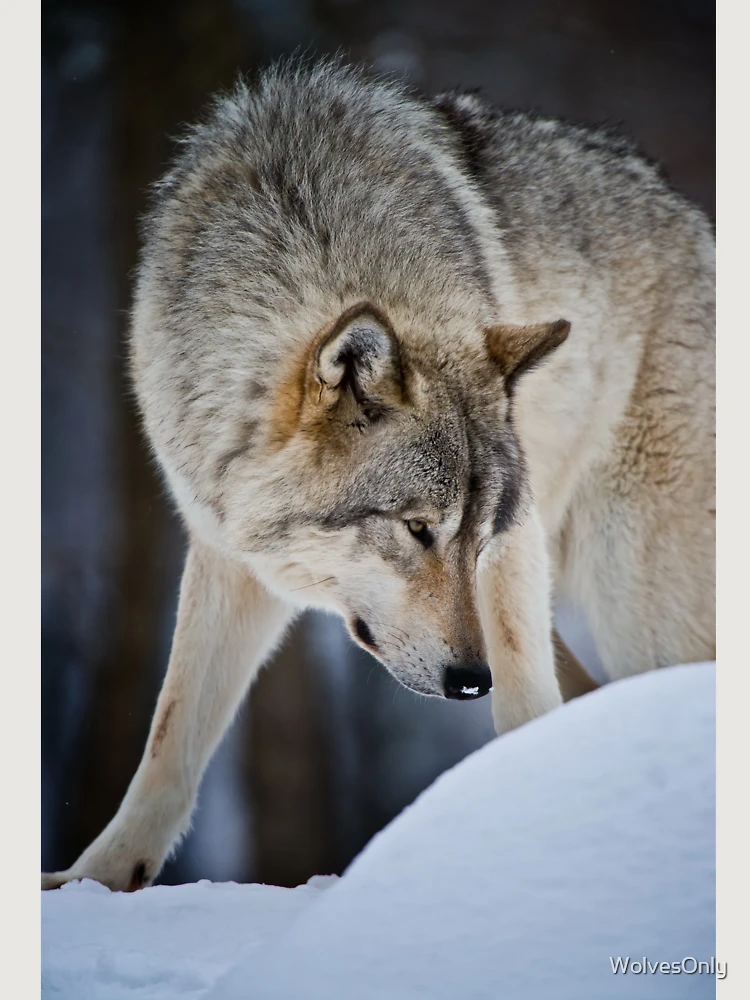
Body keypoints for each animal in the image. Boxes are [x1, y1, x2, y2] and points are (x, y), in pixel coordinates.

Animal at [42, 59, 714, 892]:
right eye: (418, 529)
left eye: (477, 537)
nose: (471, 680)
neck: (307, 234)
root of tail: (694, 220)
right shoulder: (226, 552)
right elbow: (171, 737)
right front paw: (93, 884)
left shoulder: (515, 550)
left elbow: (524, 698)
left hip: (638, 603)